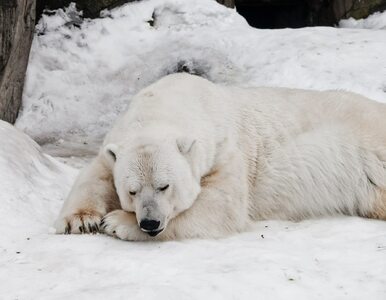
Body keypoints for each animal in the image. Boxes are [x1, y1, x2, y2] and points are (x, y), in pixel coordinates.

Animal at [55, 74, 386, 240]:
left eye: (165, 186)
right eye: (132, 191)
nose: (149, 223)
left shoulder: (225, 146)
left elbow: (221, 206)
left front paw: (115, 222)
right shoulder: (117, 140)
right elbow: (96, 172)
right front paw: (80, 220)